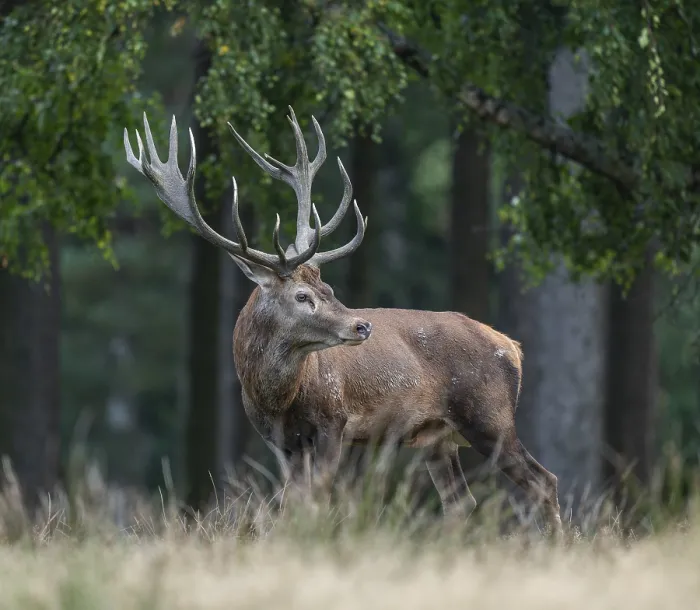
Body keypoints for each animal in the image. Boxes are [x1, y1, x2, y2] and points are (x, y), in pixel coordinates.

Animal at [123, 107, 563, 536]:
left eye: (329, 288)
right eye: (303, 296)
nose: (361, 326)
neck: (276, 398)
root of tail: (512, 347)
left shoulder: (334, 424)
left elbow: (316, 501)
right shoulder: (281, 442)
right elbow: (291, 504)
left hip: (490, 416)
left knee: (544, 480)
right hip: (440, 439)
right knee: (461, 501)